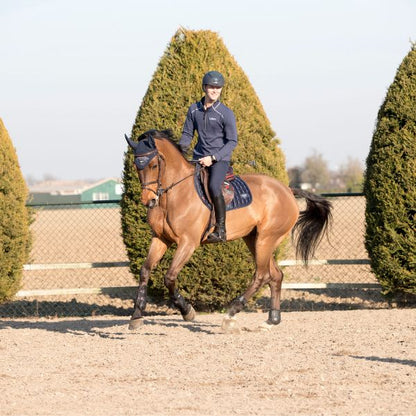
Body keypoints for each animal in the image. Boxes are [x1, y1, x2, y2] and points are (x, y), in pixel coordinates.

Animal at [123, 129, 332, 332]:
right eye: (136, 166)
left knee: (261, 275)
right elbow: (145, 271)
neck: (173, 195)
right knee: (275, 275)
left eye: (153, 165)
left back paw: (231, 314)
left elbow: (169, 277)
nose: (148, 201)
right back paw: (271, 320)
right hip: (254, 239)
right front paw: (137, 316)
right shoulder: (160, 239)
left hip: (267, 238)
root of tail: (288, 190)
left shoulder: (188, 242)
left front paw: (187, 311)